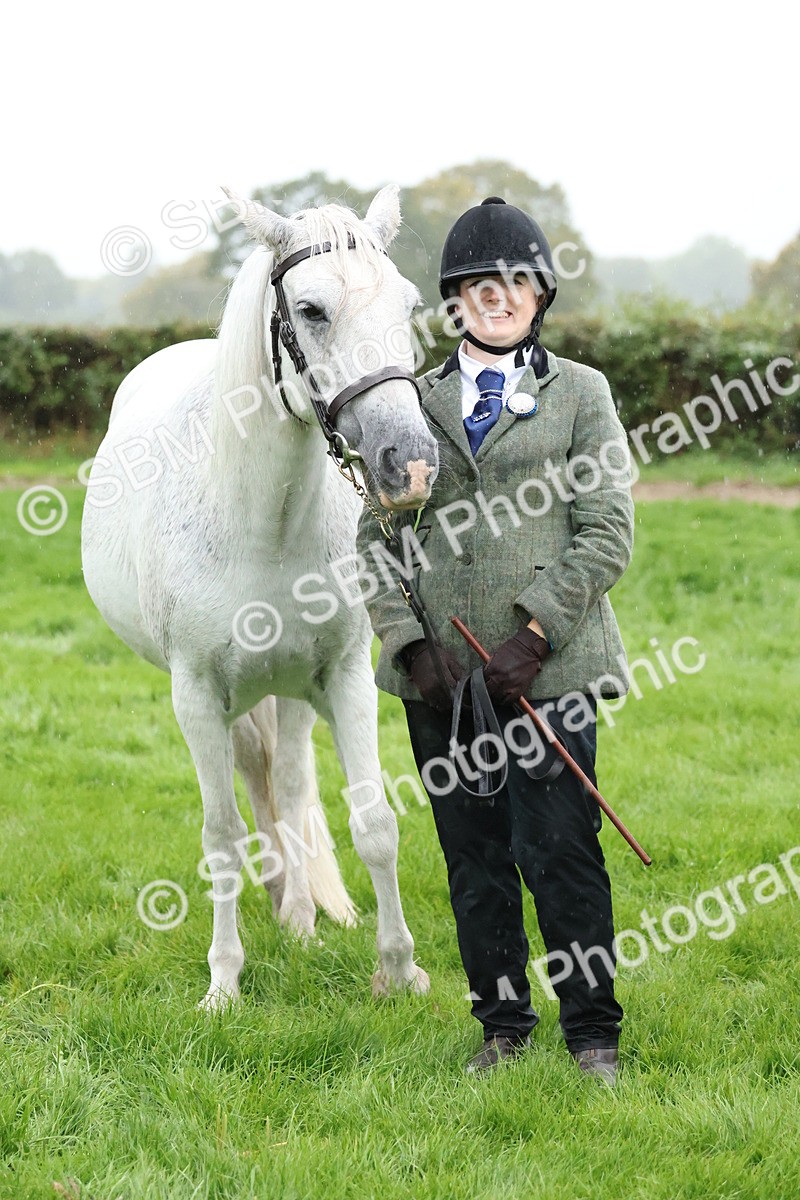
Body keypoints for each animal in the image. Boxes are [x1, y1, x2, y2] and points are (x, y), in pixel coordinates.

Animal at [81, 184, 439, 1009]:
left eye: (408, 304)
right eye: (310, 310)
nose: (409, 465)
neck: (258, 521)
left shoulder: (344, 676)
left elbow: (374, 821)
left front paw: (399, 969)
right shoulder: (196, 694)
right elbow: (221, 836)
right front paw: (223, 982)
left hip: (293, 687)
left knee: (291, 781)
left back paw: (302, 915)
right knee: (256, 777)